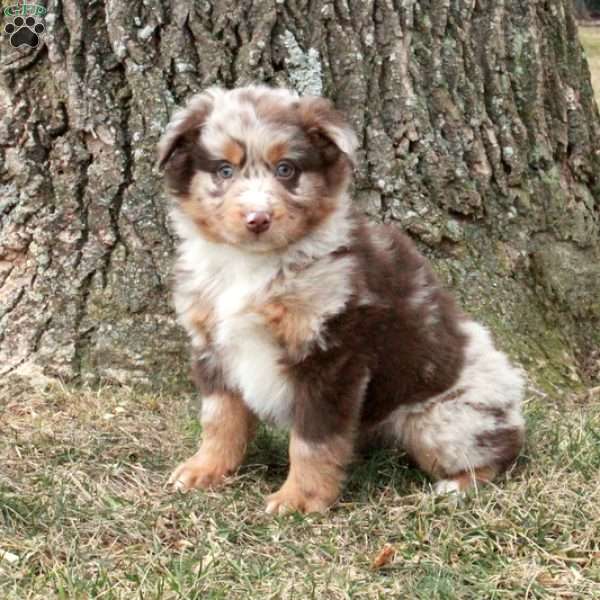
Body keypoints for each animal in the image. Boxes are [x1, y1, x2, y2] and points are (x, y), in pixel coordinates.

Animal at [159, 85, 524, 516]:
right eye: (224, 171)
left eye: (286, 169)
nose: (258, 219)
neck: (252, 264)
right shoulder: (212, 345)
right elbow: (219, 418)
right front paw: (205, 469)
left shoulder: (332, 357)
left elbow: (312, 441)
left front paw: (298, 499)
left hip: (444, 418)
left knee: (500, 452)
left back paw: (457, 485)